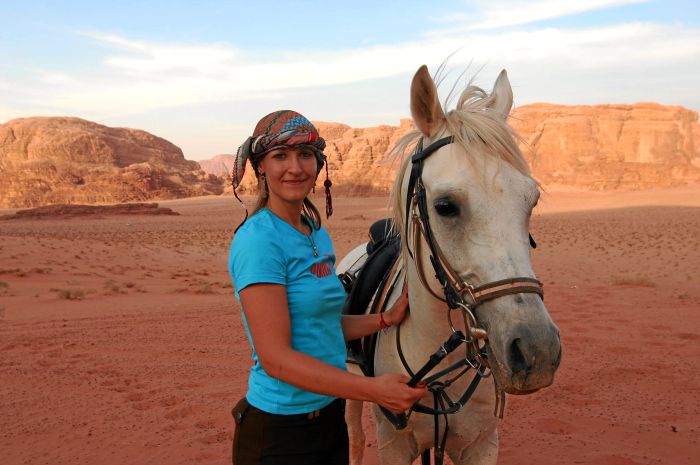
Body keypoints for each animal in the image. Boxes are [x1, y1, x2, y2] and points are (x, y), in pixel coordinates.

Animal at [336, 66, 560, 464]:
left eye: (531, 201)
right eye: (445, 206)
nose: (538, 350)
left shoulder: (481, 444)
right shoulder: (393, 445)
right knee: (354, 437)